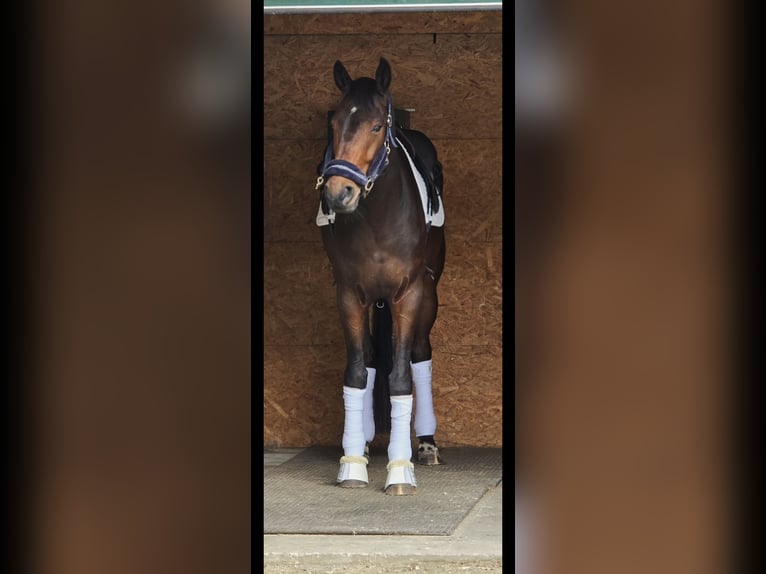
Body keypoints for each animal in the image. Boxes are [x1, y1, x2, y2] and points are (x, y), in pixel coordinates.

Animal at [315, 57, 446, 495]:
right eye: (334, 123)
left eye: (375, 126)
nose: (338, 194)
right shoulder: (349, 293)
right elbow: (358, 371)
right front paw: (352, 463)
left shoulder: (409, 293)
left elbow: (402, 376)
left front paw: (400, 469)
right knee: (371, 358)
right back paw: (368, 441)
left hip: (429, 294)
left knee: (420, 354)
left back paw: (426, 444)